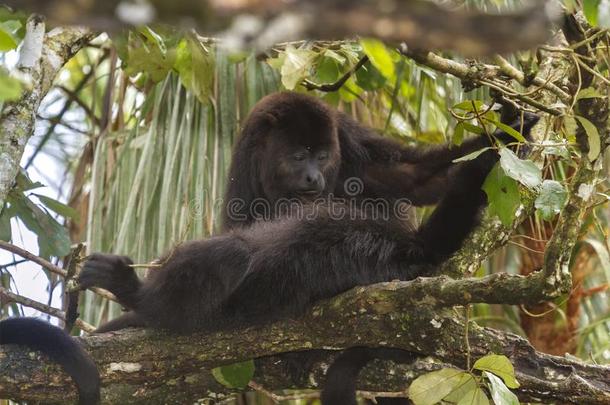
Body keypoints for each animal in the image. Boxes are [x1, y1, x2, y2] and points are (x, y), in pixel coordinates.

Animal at [0, 90, 532, 404]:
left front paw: (510, 125)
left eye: (323, 155)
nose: (315, 177)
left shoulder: (352, 141)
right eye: (298, 156)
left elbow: (417, 178)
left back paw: (130, 289)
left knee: (231, 262)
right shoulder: (242, 175)